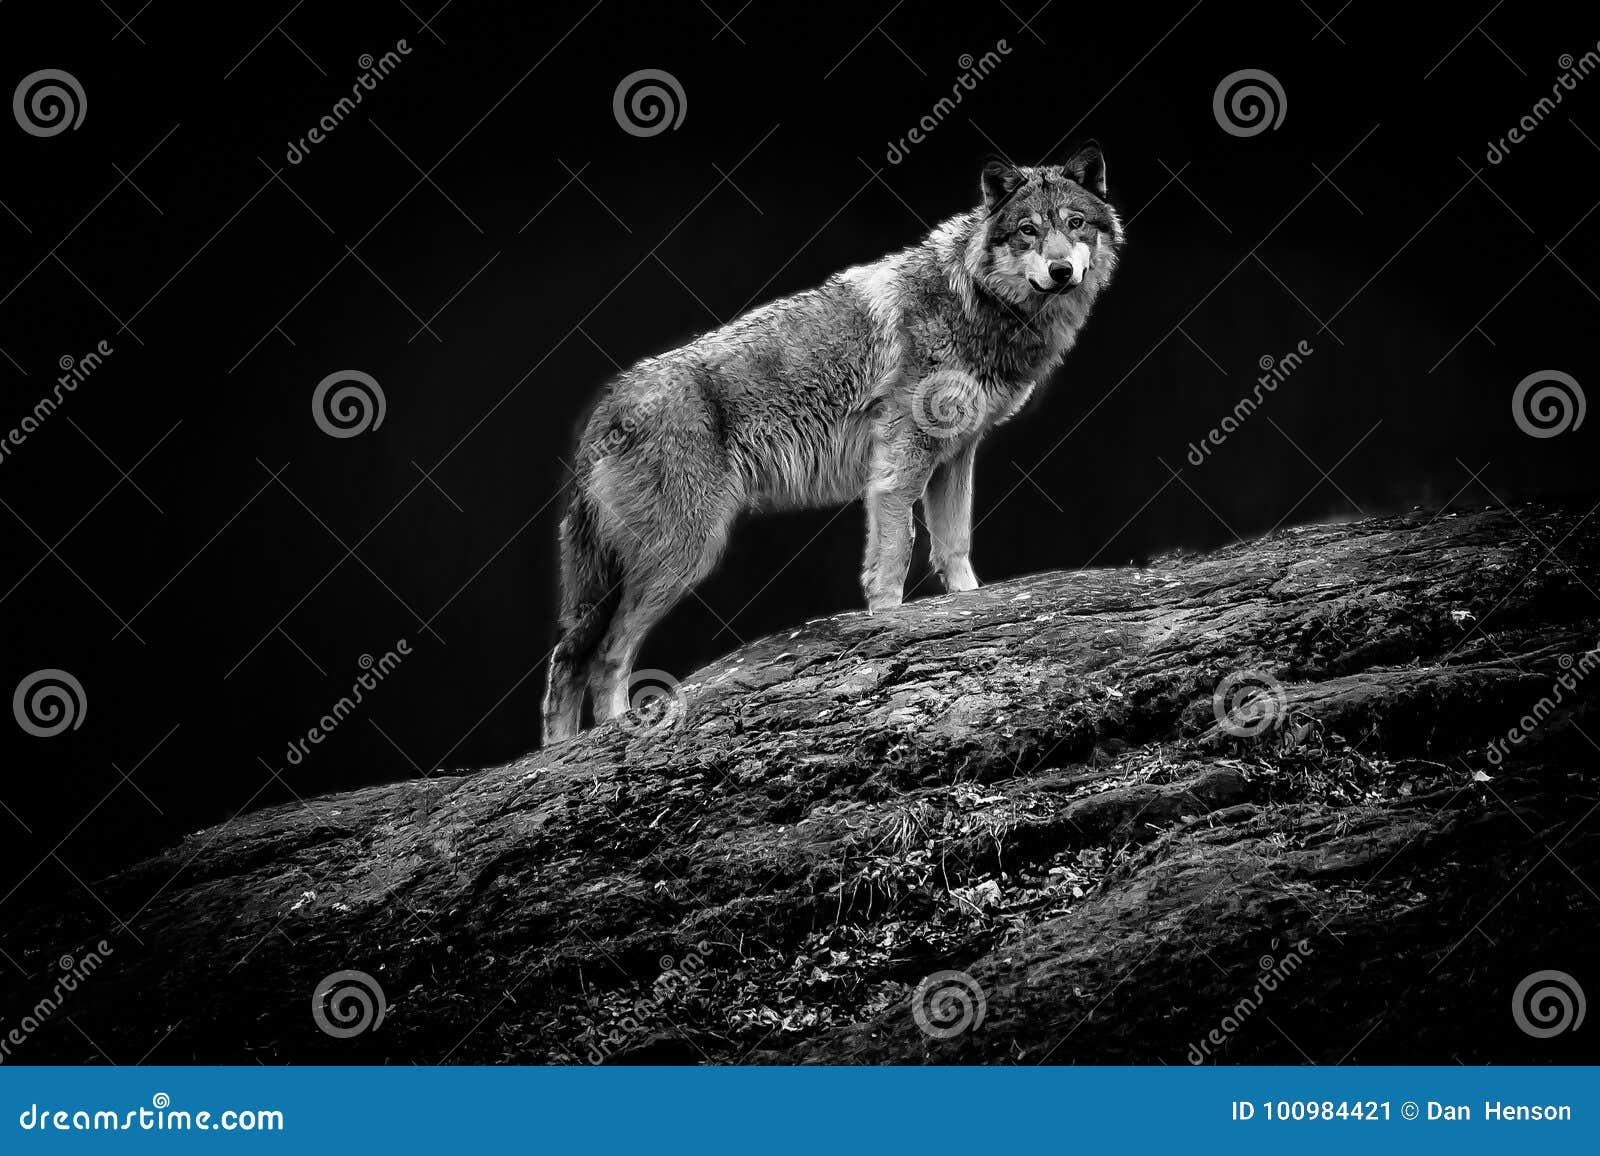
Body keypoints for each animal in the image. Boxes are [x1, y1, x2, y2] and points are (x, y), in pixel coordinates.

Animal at [543, 144, 1124, 742]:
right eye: (1028, 230)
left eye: (1074, 224)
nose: (1061, 270)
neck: (974, 300)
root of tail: (609, 403)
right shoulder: (900, 464)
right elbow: (895, 555)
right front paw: (889, 622)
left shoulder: (957, 456)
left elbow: (955, 546)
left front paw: (967, 605)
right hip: (684, 554)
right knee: (602, 657)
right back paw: (604, 739)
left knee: (568, 658)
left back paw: (559, 754)